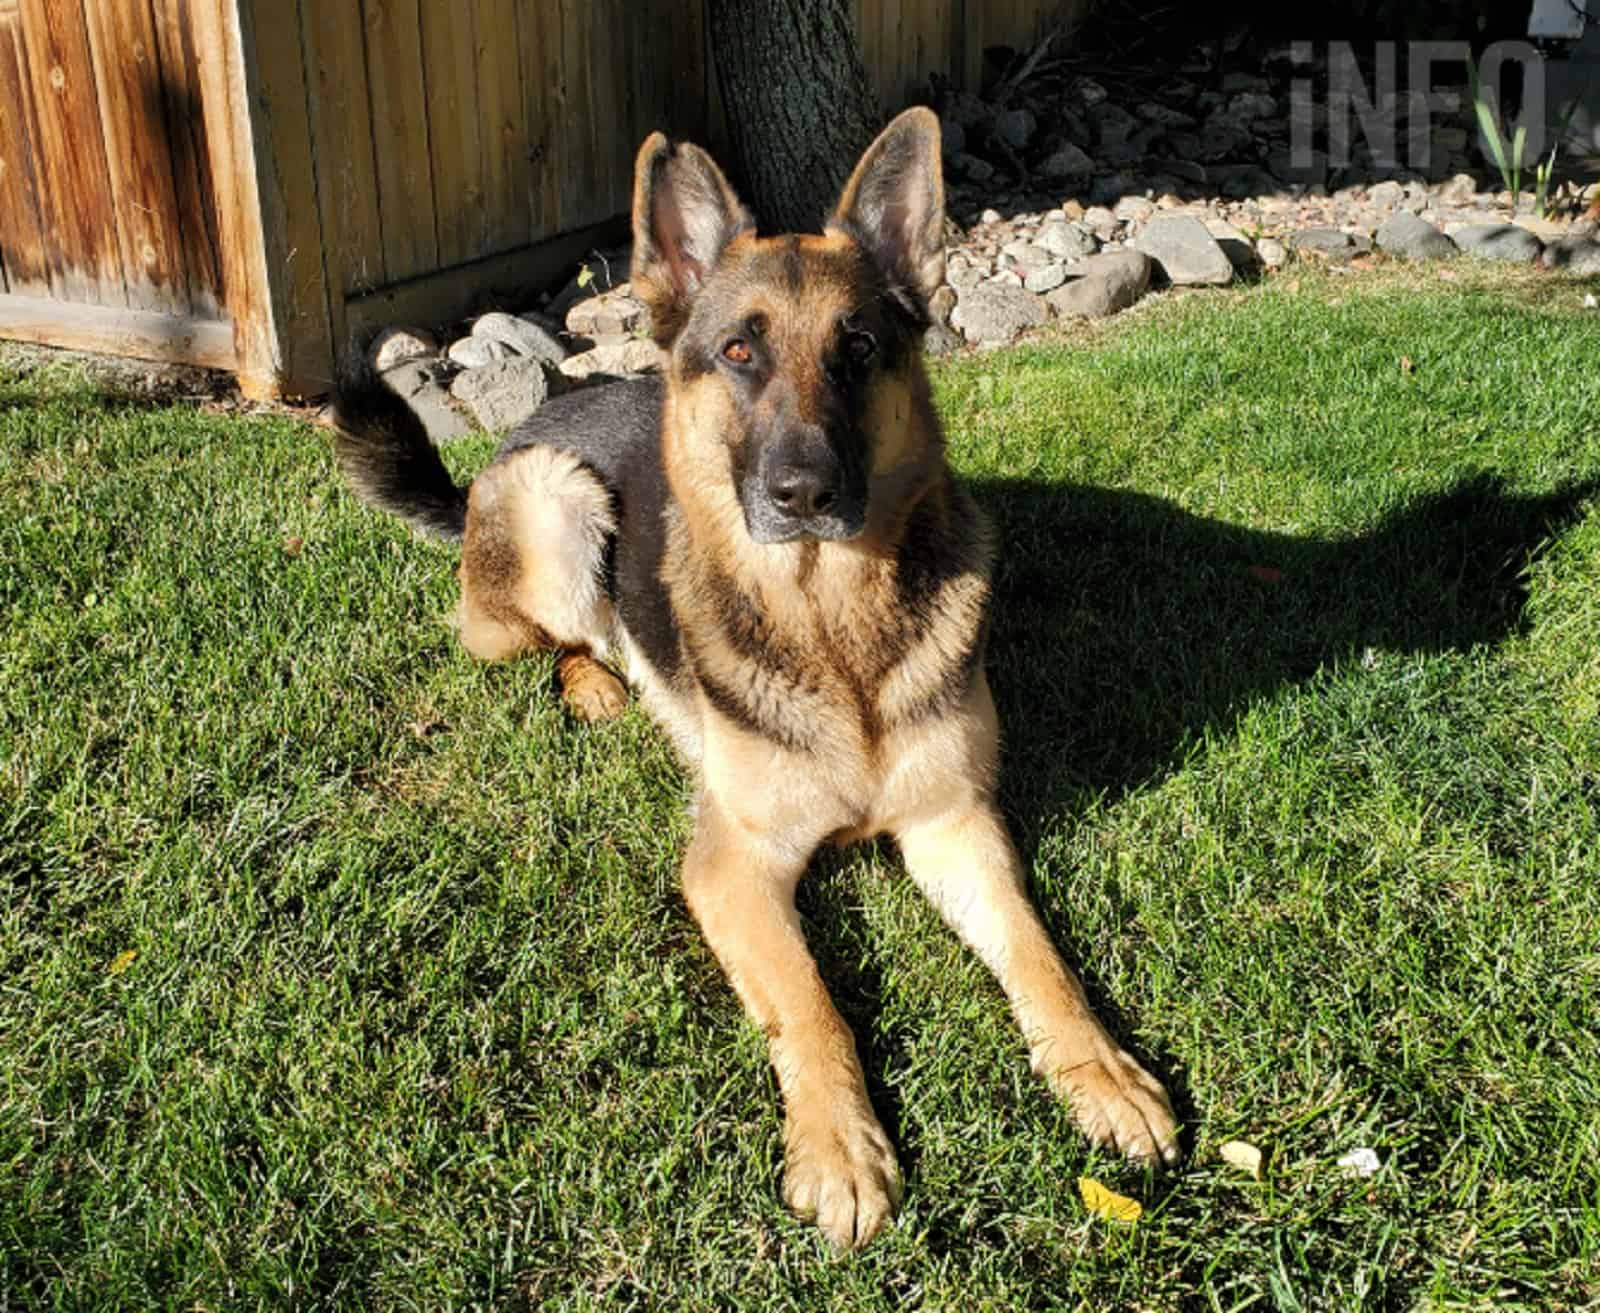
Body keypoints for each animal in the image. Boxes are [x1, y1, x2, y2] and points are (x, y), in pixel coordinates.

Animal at [334, 107, 1177, 1247]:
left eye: (858, 350)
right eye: (739, 350)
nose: (804, 492)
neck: (831, 624)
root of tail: (525, 431)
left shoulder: (957, 824)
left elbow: (1039, 955)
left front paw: (1101, 1072)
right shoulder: (734, 867)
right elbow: (809, 1000)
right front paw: (838, 1143)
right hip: (558, 506)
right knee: (558, 640)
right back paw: (599, 684)